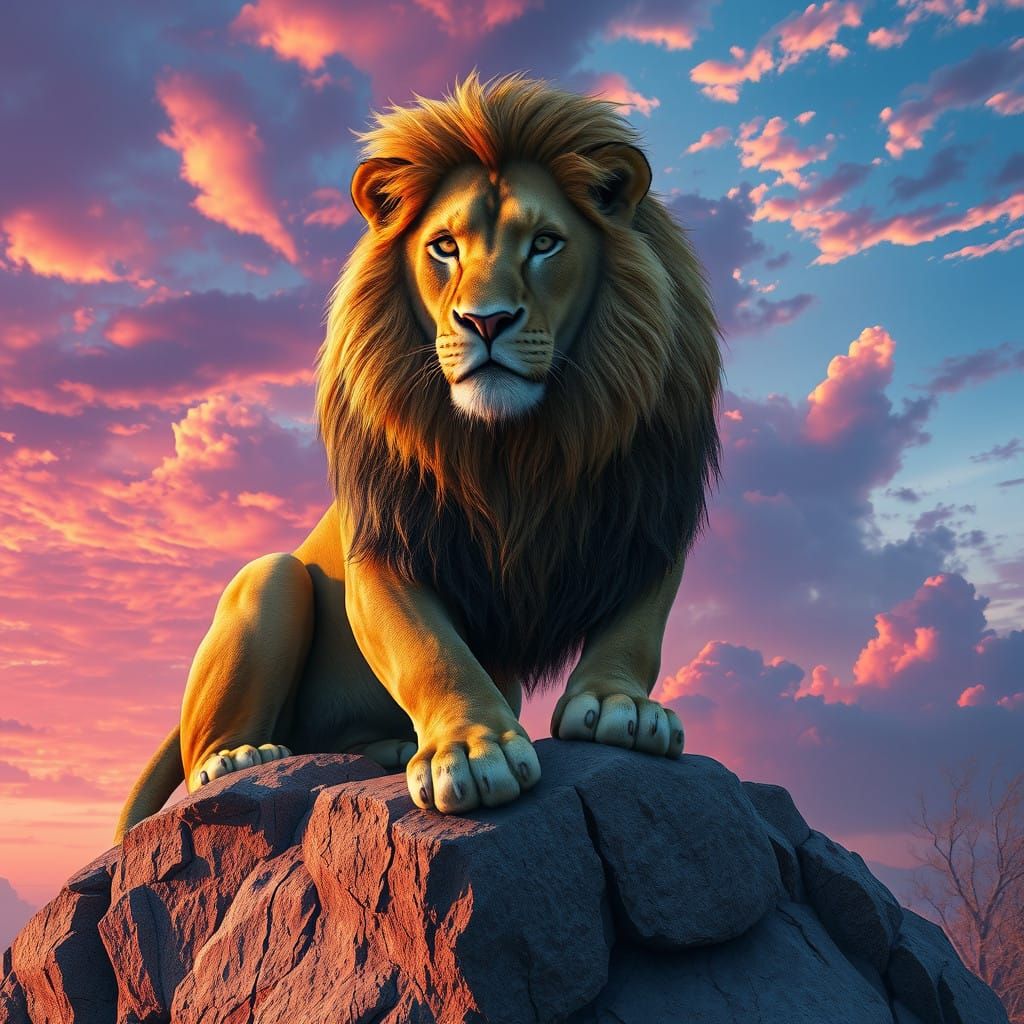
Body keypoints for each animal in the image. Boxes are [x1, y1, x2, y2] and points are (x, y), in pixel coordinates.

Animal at [116, 73, 722, 841]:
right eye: (444, 247)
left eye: (545, 243)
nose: (486, 321)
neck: (520, 446)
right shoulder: (384, 540)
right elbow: (427, 649)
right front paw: (470, 750)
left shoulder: (651, 512)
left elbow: (635, 628)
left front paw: (621, 707)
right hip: (271, 577)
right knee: (210, 744)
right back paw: (243, 756)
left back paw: (387, 745)